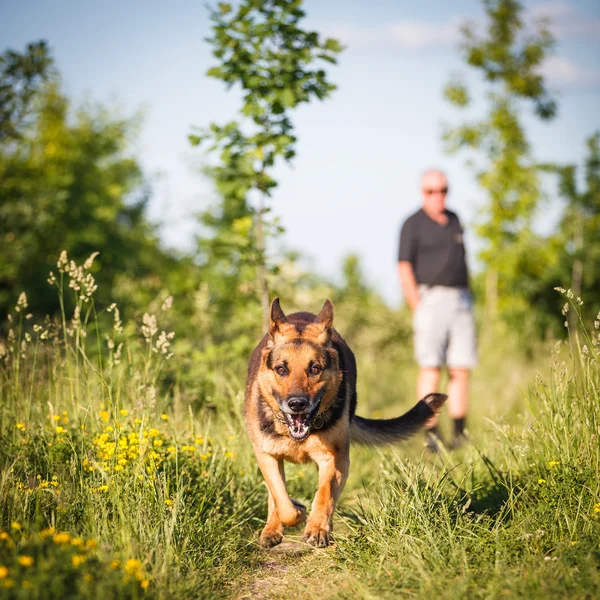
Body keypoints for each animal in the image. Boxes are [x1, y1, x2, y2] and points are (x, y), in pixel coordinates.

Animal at [244, 298, 446, 548]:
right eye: (281, 369)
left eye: (314, 368)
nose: (297, 404)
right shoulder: (266, 456)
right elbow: (282, 502)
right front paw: (297, 511)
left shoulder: (335, 459)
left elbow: (324, 495)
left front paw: (316, 528)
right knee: (275, 498)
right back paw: (272, 529)